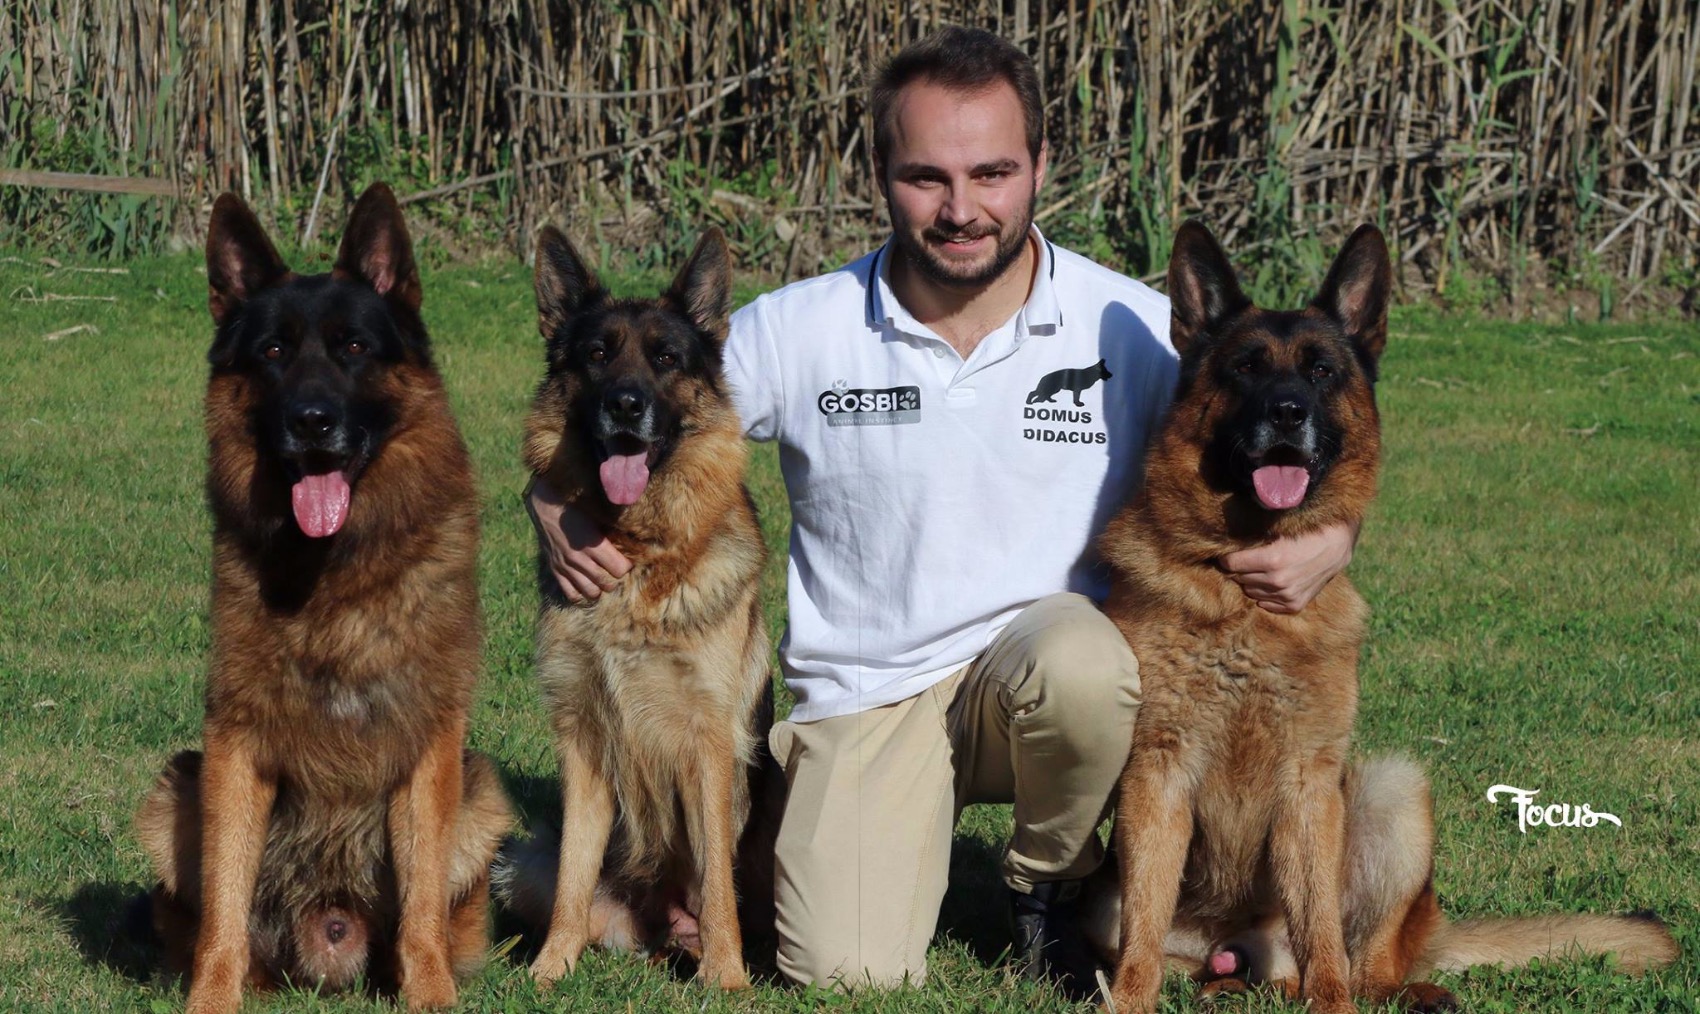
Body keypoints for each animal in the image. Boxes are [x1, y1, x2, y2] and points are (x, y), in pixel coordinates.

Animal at [135, 184, 510, 1013]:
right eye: (273, 353)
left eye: (354, 348)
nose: (312, 422)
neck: (333, 572)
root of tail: (328, 933)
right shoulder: (235, 745)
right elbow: (226, 905)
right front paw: (211, 999)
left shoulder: (427, 749)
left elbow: (421, 907)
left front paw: (429, 995)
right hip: (174, 793)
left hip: (479, 795)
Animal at [496, 224, 775, 993]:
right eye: (596, 354)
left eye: (666, 358)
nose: (624, 405)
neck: (639, 554)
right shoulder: (583, 741)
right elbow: (573, 873)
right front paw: (549, 970)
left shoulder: (710, 745)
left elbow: (716, 883)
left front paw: (726, 976)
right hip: (524, 856)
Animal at [1088, 224, 1672, 1013]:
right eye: (1245, 368)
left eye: (1322, 371)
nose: (1287, 412)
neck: (1245, 589)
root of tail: (1226, 945)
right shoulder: (1158, 776)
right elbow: (1144, 933)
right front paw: (1130, 1001)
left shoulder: (1309, 785)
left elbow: (1323, 935)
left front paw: (1330, 1003)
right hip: (1108, 900)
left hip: (1394, 794)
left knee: (1361, 966)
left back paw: (1407, 991)